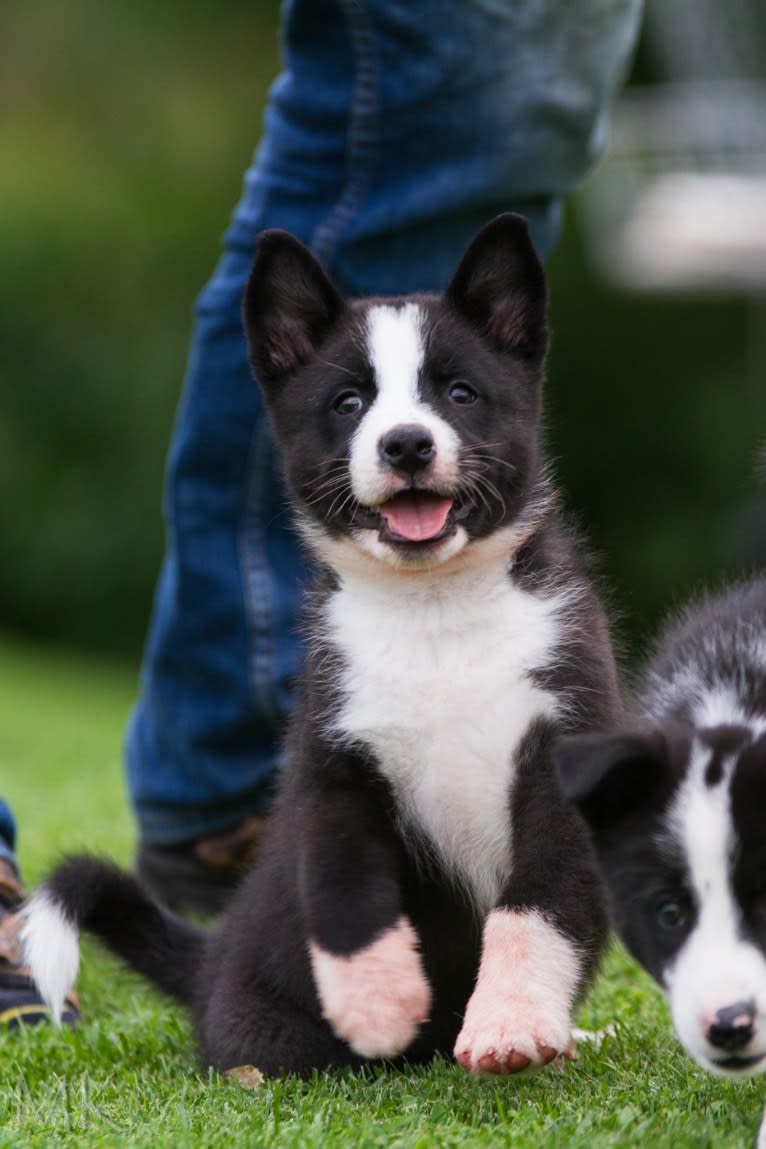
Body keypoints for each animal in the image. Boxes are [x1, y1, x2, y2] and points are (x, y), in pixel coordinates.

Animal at [23, 213, 624, 1075]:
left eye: (460, 392)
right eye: (348, 401)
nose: (405, 444)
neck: (433, 613)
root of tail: (210, 964)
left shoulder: (560, 749)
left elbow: (534, 906)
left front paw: (511, 1022)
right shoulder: (334, 759)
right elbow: (345, 890)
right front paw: (376, 1004)